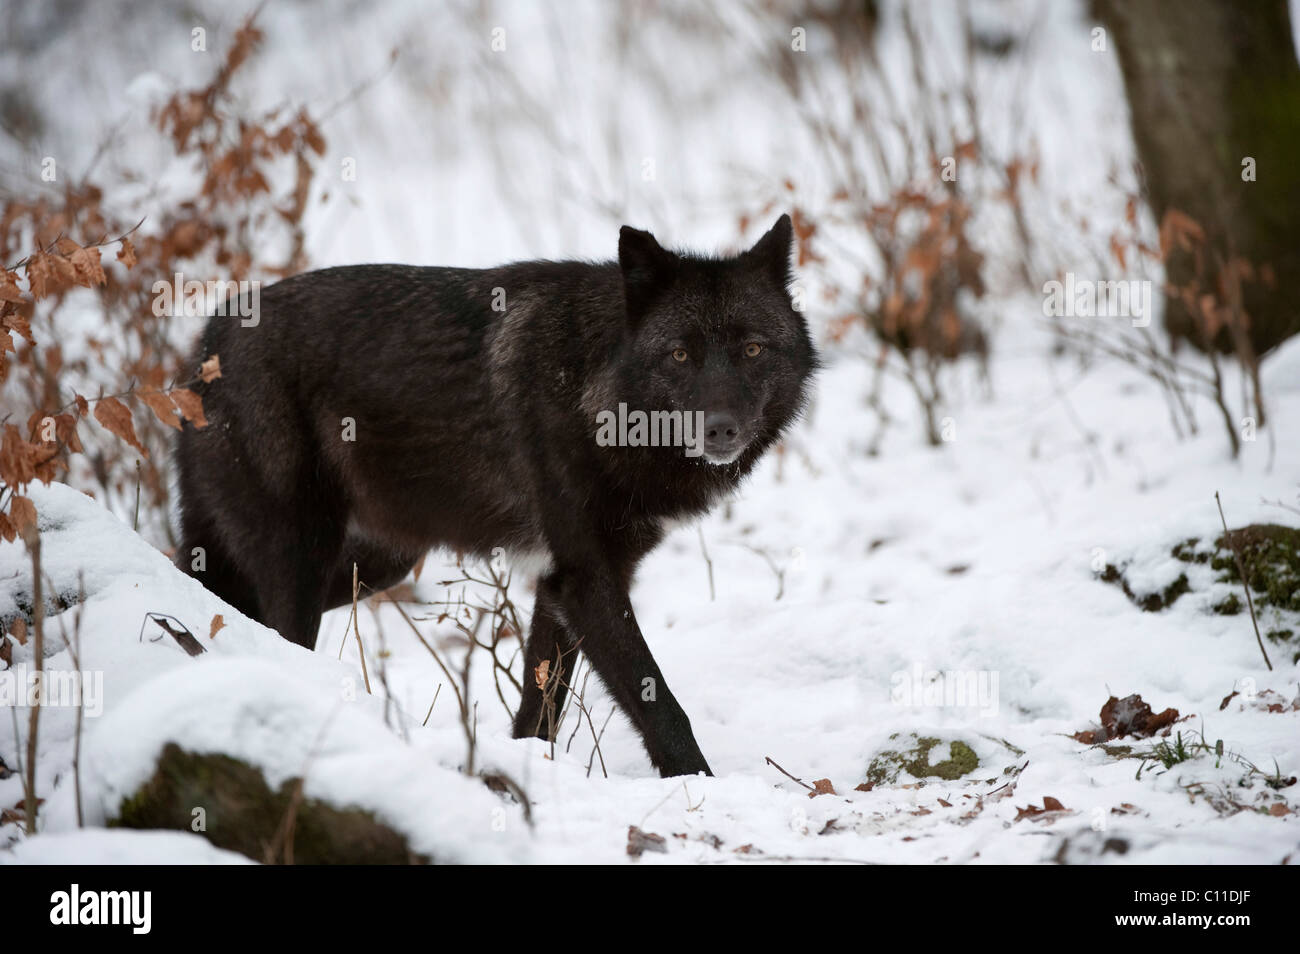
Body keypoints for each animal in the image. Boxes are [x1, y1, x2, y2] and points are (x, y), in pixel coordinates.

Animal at [178, 214, 816, 779]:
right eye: (681, 354)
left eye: (753, 349)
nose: (721, 429)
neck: (592, 390)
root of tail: (208, 337)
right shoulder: (588, 578)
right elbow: (658, 702)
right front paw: (699, 783)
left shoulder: (563, 584)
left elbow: (541, 709)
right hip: (305, 561)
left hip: (375, 565)